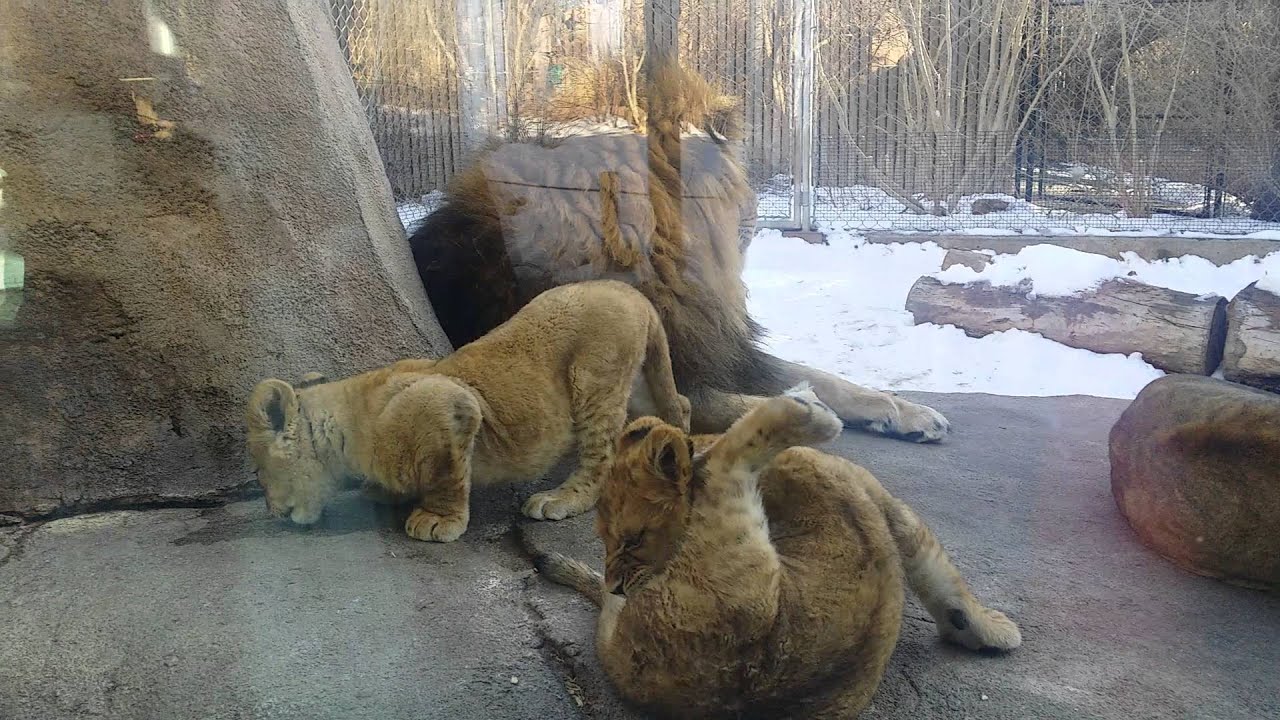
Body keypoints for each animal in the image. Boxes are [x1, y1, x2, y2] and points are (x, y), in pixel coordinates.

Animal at [244, 280, 690, 542]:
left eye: (260, 473)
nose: (271, 512)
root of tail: (628, 288)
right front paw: (382, 491)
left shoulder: (450, 405)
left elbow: (447, 474)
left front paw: (436, 519)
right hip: (637, 377)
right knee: (678, 404)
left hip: (596, 378)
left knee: (602, 453)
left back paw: (560, 498)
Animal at [407, 62, 950, 442]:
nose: (755, 218)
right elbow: (718, 405)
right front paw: (808, 411)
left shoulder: (714, 347)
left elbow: (821, 375)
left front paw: (905, 411)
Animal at [532, 386, 1021, 719]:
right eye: (603, 539)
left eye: (631, 540)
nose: (617, 584)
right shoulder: (882, 500)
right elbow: (935, 566)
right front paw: (996, 630)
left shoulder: (880, 501)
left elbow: (941, 578)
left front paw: (988, 630)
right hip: (741, 564)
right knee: (733, 456)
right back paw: (811, 411)